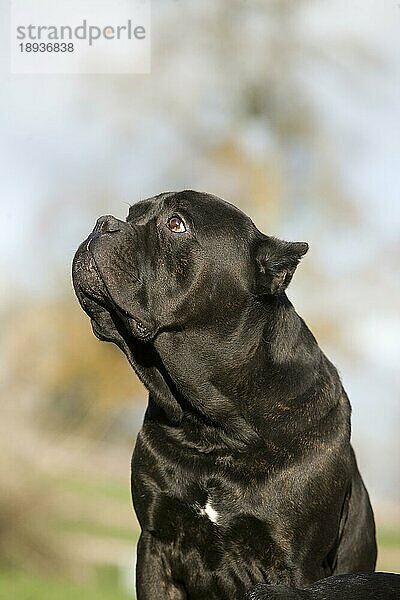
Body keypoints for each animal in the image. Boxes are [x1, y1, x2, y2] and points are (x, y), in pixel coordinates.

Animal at [72, 190, 378, 596]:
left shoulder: (295, 566)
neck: (216, 429)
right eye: (132, 214)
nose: (103, 223)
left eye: (176, 224)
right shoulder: (156, 545)